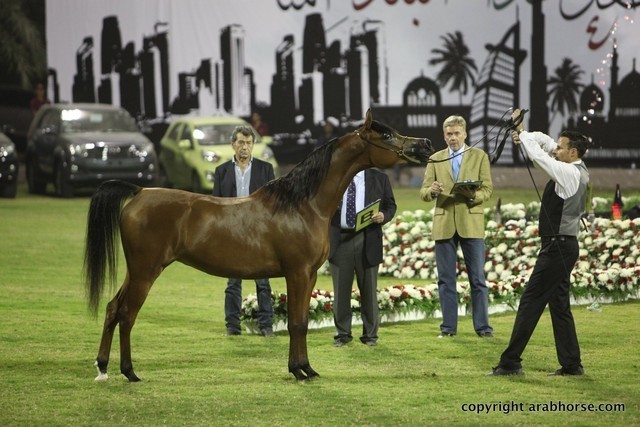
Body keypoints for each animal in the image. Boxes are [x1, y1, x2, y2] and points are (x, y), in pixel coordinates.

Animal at [84, 109, 433, 382]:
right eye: (386, 135)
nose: (425, 144)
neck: (301, 205)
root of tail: (140, 191)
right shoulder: (297, 273)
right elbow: (296, 323)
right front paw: (298, 371)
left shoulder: (308, 275)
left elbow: (301, 322)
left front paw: (306, 369)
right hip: (146, 271)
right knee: (127, 314)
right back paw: (129, 372)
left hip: (135, 270)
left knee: (113, 308)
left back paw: (103, 368)